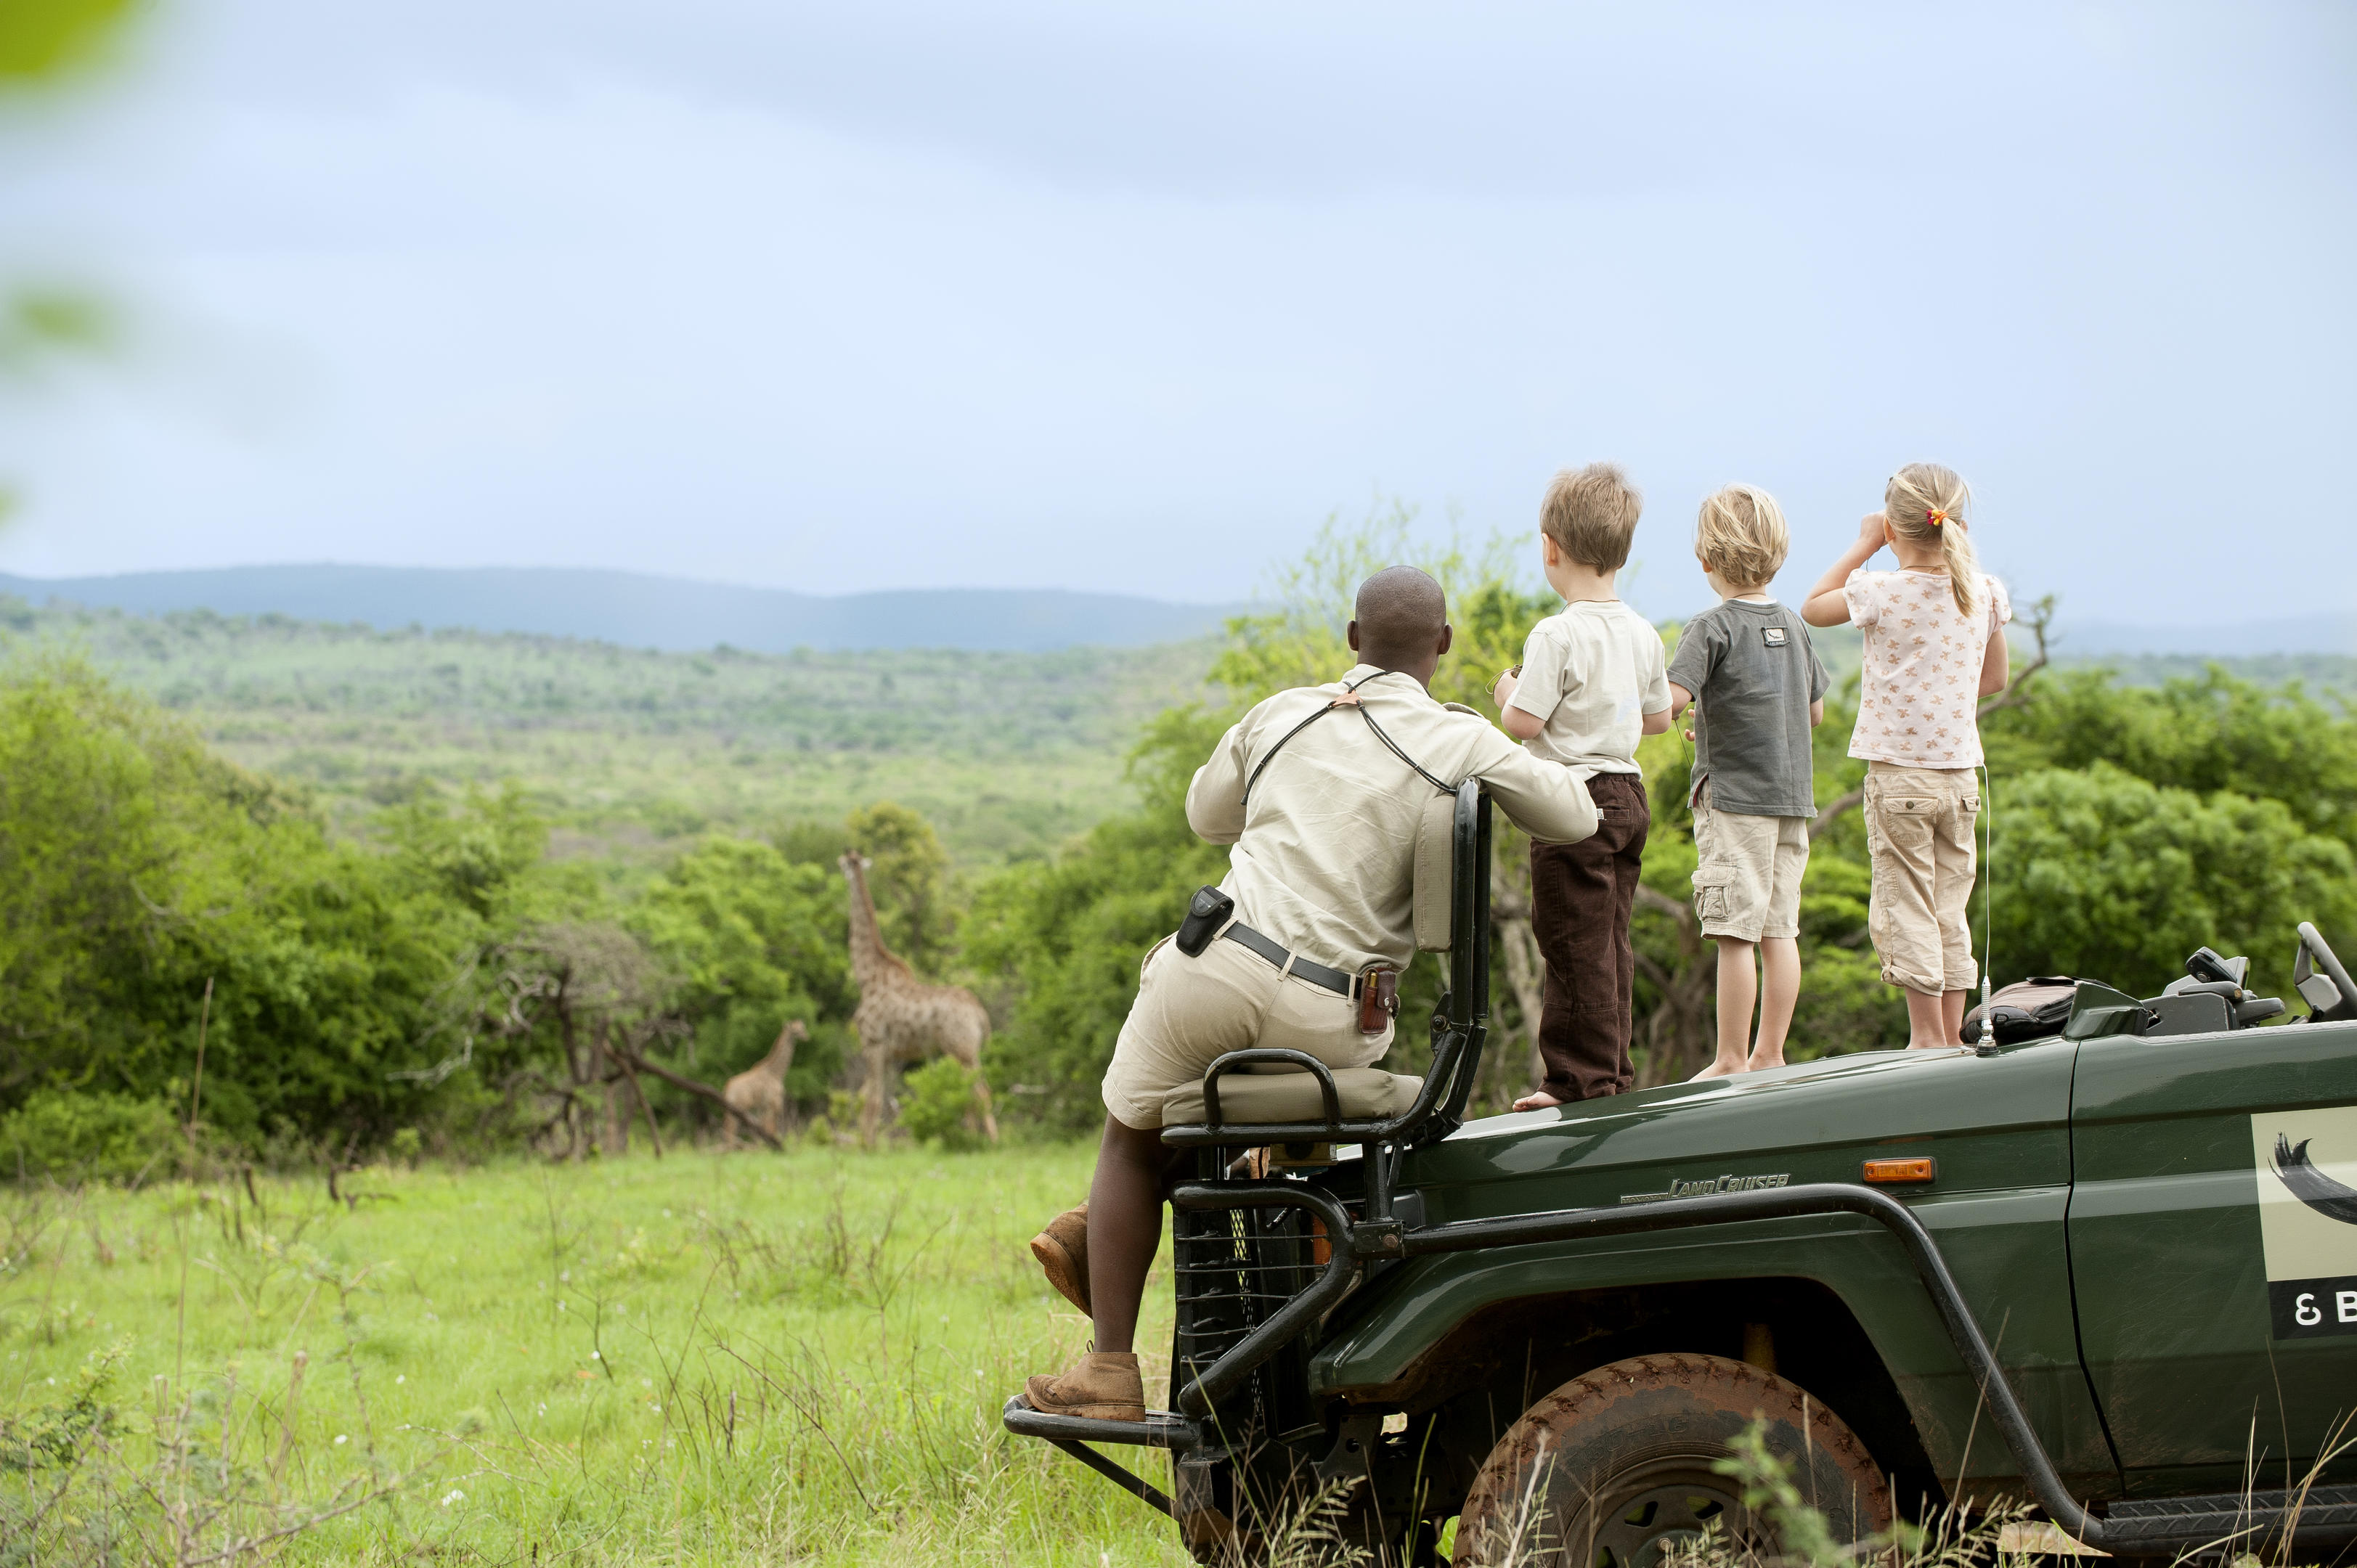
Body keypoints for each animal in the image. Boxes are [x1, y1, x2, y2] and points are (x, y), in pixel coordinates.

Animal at [721, 1019, 808, 1150]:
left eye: (802, 1027)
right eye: (795, 1031)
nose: (807, 1036)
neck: (777, 1073)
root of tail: (727, 1088)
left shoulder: (762, 1106)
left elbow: (762, 1128)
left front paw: (763, 1147)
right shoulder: (774, 1102)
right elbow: (772, 1128)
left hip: (731, 1109)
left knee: (728, 1128)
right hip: (739, 1107)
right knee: (731, 1129)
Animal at [839, 851, 999, 1145]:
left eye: (842, 863)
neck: (866, 976)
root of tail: (981, 1015)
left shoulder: (873, 1043)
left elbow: (872, 1099)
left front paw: (867, 1147)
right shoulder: (888, 1053)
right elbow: (868, 1096)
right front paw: (867, 1143)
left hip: (962, 1050)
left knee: (980, 1091)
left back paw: (992, 1142)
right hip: (966, 1051)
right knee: (972, 1092)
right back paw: (972, 1139)